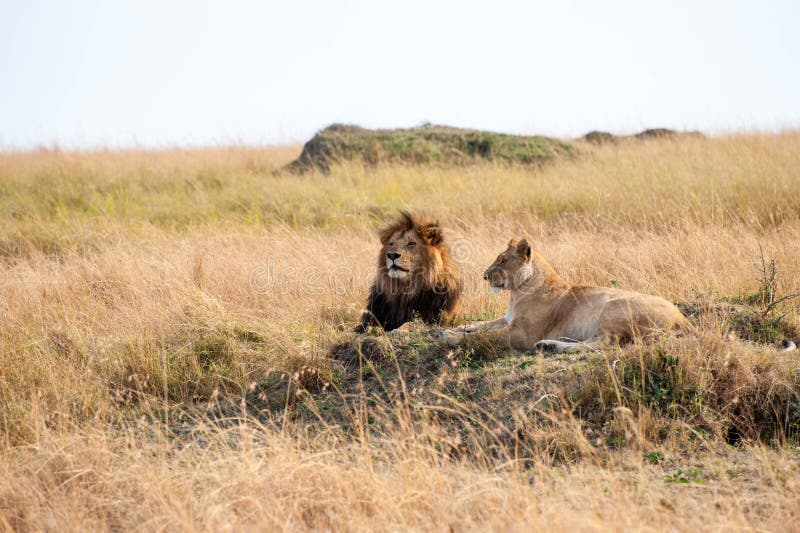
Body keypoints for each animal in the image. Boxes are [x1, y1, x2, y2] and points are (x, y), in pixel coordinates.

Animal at [440, 239, 692, 352]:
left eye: (502, 261)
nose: (484, 276)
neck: (516, 293)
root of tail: (683, 320)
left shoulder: (523, 334)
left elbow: (487, 336)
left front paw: (451, 336)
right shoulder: (508, 319)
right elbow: (486, 324)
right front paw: (462, 327)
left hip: (612, 307)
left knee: (605, 344)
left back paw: (552, 346)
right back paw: (550, 345)